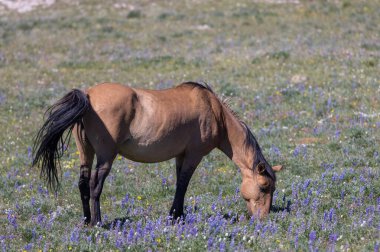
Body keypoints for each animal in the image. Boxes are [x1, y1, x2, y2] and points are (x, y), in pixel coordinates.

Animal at [33, 82, 282, 226]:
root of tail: (88, 95)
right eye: (264, 187)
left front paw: (177, 215)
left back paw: (86, 221)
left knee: (83, 184)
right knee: (95, 185)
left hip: (86, 152)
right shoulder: (194, 155)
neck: (215, 112)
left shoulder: (181, 156)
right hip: (105, 156)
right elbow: (183, 184)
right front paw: (176, 217)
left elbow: (179, 184)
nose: (263, 219)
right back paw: (97, 222)